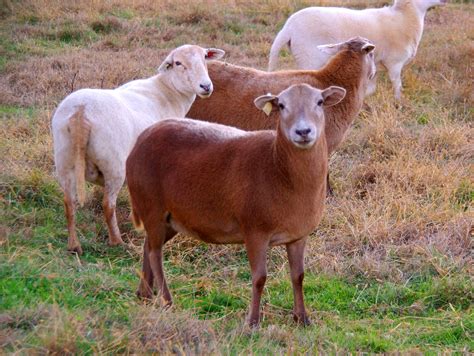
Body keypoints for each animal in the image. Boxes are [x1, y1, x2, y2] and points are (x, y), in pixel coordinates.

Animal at [51, 44, 225, 254]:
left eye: (205, 57)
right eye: (178, 63)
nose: (206, 87)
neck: (168, 91)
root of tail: (80, 111)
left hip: (64, 158)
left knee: (68, 203)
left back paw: (74, 245)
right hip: (113, 163)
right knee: (108, 205)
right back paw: (117, 242)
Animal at [268, 0, 446, 98]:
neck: (404, 18)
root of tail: (288, 27)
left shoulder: (375, 62)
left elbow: (372, 86)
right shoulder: (394, 62)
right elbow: (397, 84)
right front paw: (398, 102)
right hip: (309, 57)